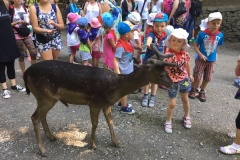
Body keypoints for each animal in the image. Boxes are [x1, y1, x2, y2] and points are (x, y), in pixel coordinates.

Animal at [23, 43, 176, 156]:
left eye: (166, 72)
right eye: (162, 74)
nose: (172, 83)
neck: (117, 87)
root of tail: (26, 74)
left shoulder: (106, 104)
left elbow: (110, 122)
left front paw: (116, 142)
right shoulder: (95, 103)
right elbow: (95, 123)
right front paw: (92, 144)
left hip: (45, 98)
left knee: (42, 116)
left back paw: (52, 137)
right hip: (45, 96)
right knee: (34, 117)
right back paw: (42, 150)